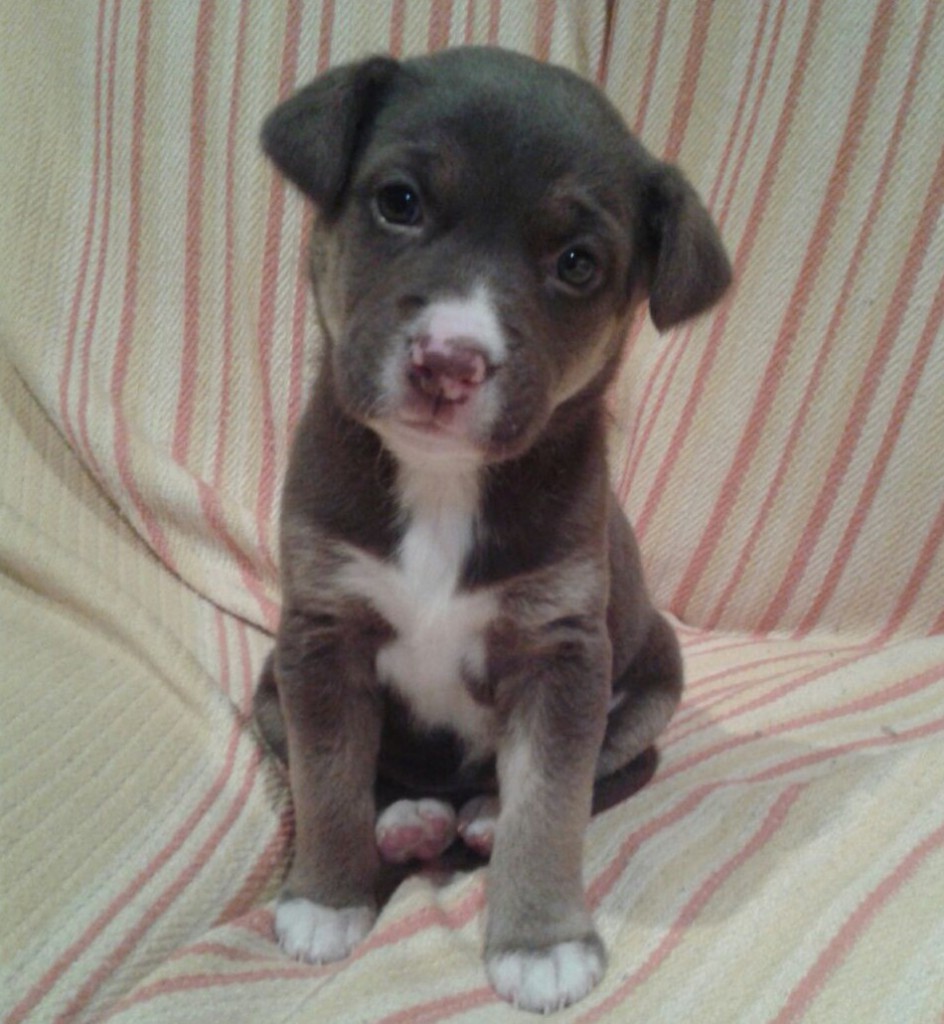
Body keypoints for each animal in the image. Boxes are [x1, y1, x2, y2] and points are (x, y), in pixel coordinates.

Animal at [253, 46, 730, 1013]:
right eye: (400, 201)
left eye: (578, 263)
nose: (449, 362)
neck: (443, 483)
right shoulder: (318, 632)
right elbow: (328, 778)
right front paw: (326, 899)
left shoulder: (563, 650)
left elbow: (549, 806)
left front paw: (541, 943)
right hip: (266, 686)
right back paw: (407, 821)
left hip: (651, 684)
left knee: (597, 778)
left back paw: (478, 816)